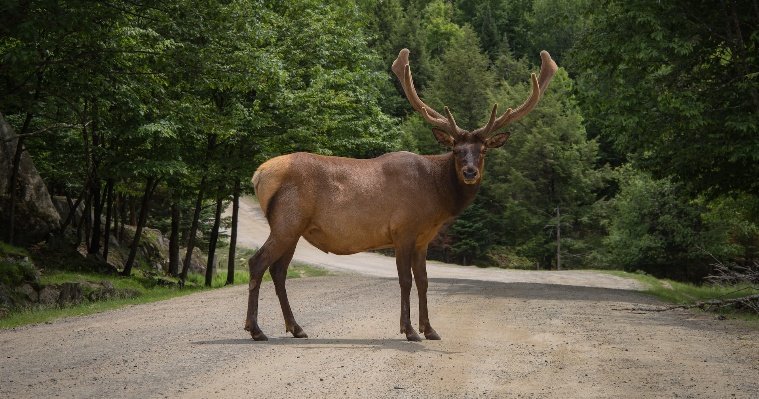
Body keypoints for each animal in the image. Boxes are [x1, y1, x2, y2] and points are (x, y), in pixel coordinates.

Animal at [245, 47, 560, 340]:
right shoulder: (402, 230)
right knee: (257, 262)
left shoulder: (423, 239)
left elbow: (423, 280)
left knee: (279, 270)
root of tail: (259, 174)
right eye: (456, 150)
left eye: (482, 151)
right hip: (287, 221)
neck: (436, 199)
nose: (470, 172)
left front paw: (430, 329)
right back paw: (255, 329)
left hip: (294, 228)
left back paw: (296, 328)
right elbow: (405, 280)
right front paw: (409, 330)